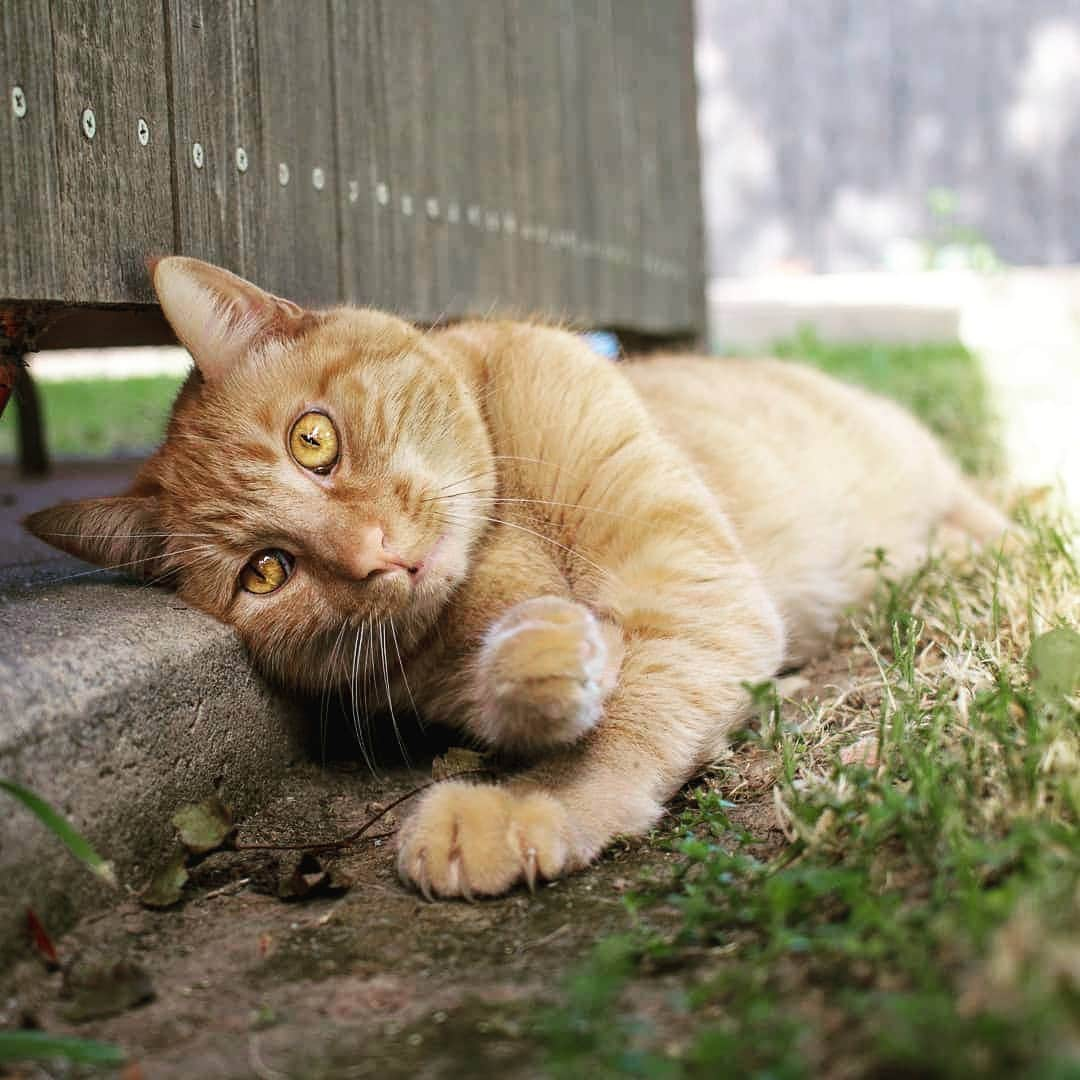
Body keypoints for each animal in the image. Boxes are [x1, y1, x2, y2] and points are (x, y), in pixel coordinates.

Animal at [25, 257, 1002, 898]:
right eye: (267, 572)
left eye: (314, 439)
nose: (377, 555)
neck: (507, 532)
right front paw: (537, 663)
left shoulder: (692, 591)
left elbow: (627, 721)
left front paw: (532, 803)